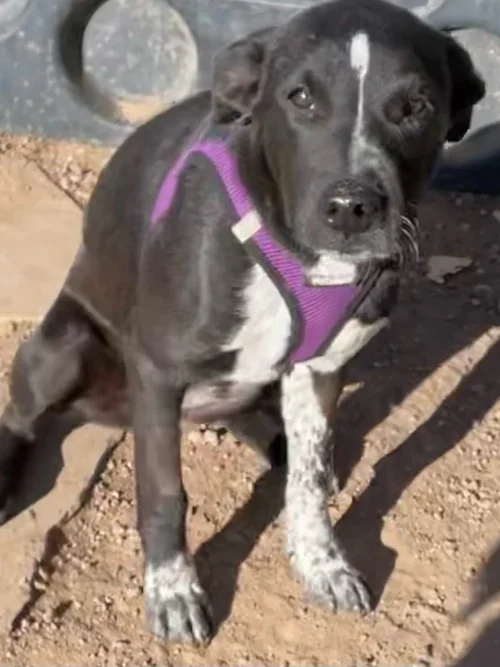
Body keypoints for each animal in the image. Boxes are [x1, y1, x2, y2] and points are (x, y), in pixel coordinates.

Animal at [0, 0, 484, 645]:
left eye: (416, 106)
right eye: (300, 97)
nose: (352, 208)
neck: (301, 254)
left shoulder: (321, 366)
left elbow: (307, 483)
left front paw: (323, 564)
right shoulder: (158, 369)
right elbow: (163, 492)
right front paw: (173, 591)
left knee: (263, 425)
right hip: (64, 348)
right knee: (21, 414)